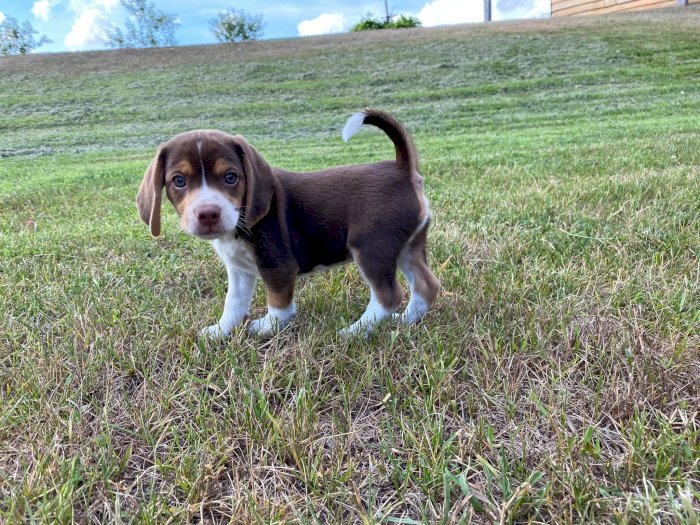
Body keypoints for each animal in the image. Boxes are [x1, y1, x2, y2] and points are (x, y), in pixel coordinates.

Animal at [138, 111, 438, 340]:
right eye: (178, 181)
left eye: (231, 177)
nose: (208, 214)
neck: (240, 224)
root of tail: (402, 169)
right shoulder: (239, 270)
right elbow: (233, 304)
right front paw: (220, 331)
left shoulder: (277, 265)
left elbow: (278, 303)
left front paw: (267, 328)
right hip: (407, 247)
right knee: (427, 286)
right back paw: (406, 322)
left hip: (371, 248)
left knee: (388, 295)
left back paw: (354, 332)